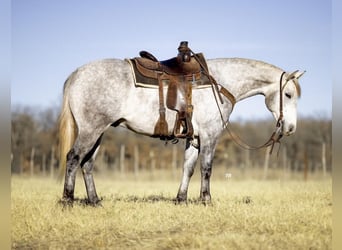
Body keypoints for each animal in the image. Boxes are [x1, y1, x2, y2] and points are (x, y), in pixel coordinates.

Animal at [59, 57, 304, 205]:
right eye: (288, 94)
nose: (290, 128)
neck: (219, 84)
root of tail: (77, 73)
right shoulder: (210, 136)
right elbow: (206, 168)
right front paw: (206, 200)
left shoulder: (194, 139)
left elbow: (188, 168)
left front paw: (181, 199)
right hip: (91, 130)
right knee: (73, 158)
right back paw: (67, 200)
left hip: (98, 132)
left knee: (87, 163)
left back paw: (95, 201)